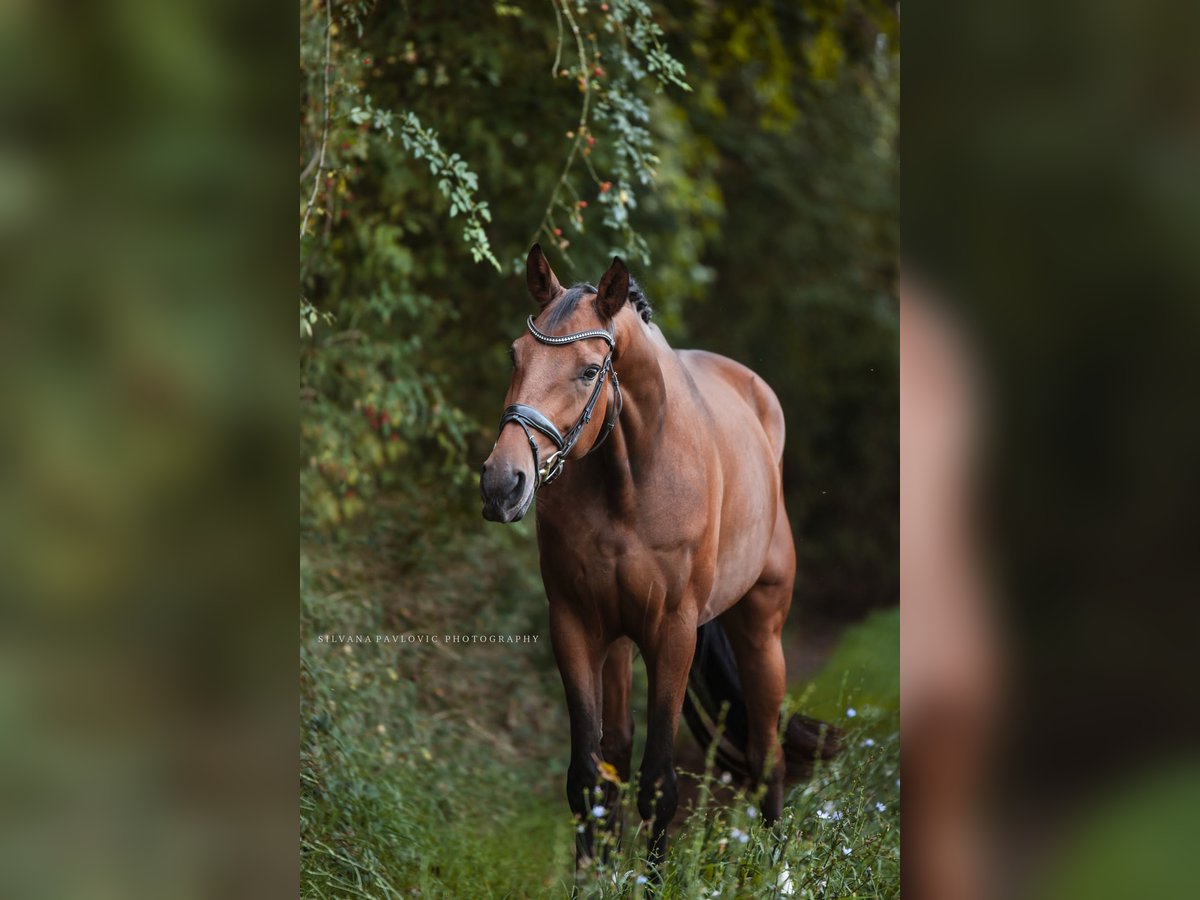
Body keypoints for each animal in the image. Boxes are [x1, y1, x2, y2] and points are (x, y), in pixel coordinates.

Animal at [477, 243, 835, 868]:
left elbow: (659, 784)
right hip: (620, 641)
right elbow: (588, 776)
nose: (502, 483)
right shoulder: (575, 626)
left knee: (766, 749)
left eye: (589, 370)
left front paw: (651, 877)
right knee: (619, 748)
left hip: (761, 630)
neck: (630, 480)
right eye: (515, 354)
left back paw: (776, 869)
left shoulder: (673, 633)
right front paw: (593, 876)